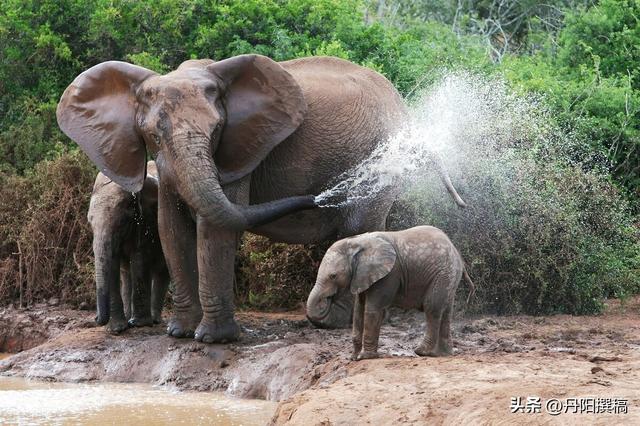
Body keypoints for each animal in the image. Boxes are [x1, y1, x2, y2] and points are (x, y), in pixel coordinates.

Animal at [57, 55, 468, 344]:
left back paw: (329, 321)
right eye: (153, 135)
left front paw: (213, 340)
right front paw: (179, 333)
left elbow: (214, 227)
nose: (315, 196)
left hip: (383, 157)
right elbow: (170, 227)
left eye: (217, 130)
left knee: (357, 226)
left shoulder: (237, 153)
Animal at [308, 225, 472, 362]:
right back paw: (443, 354)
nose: (329, 298)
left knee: (432, 307)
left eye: (333, 276)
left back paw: (422, 351)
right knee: (446, 311)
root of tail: (457, 252)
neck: (356, 242)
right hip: (449, 275)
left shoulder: (389, 274)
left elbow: (372, 309)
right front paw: (353, 358)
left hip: (443, 273)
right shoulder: (362, 276)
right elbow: (358, 310)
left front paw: (365, 357)